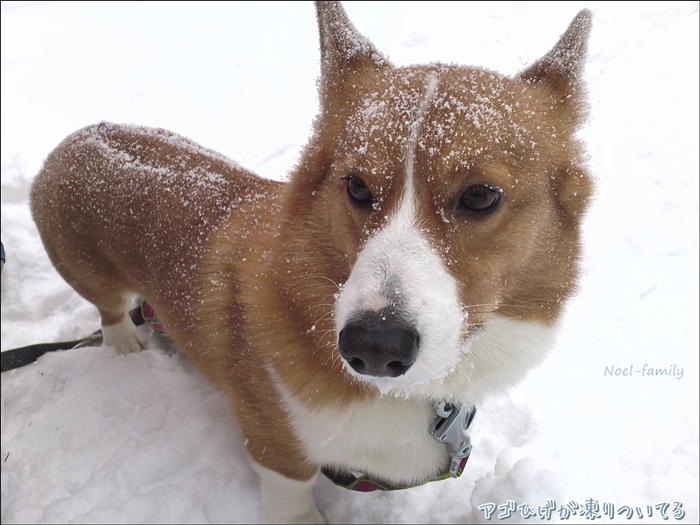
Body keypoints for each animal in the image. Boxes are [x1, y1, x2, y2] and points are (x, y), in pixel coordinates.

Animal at [30, 3, 592, 520]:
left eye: (480, 196)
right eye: (356, 186)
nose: (373, 348)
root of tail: (74, 139)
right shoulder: (275, 446)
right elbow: (293, 494)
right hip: (91, 274)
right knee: (109, 309)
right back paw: (127, 341)